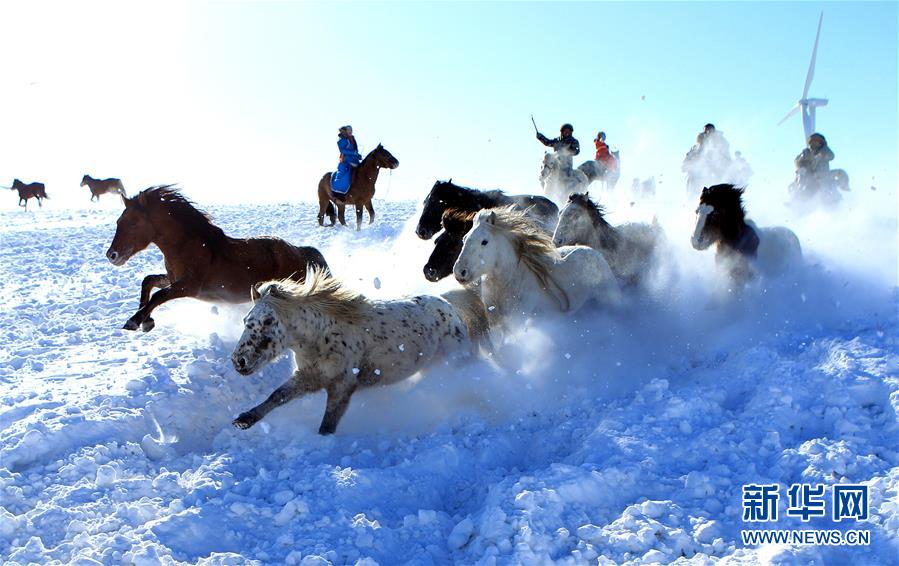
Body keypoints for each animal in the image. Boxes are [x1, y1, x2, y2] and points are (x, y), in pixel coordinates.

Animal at [107, 186, 328, 332]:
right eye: (119, 221)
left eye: (133, 222)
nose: (112, 255)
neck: (186, 245)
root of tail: (300, 252)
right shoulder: (174, 279)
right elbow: (149, 281)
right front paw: (146, 320)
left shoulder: (189, 286)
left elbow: (159, 295)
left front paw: (134, 321)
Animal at [229, 270, 488, 434]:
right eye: (245, 321)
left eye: (268, 321)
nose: (239, 361)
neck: (320, 337)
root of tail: (449, 306)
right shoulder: (308, 378)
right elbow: (277, 395)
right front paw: (244, 420)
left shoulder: (342, 386)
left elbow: (328, 424)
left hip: (456, 361)